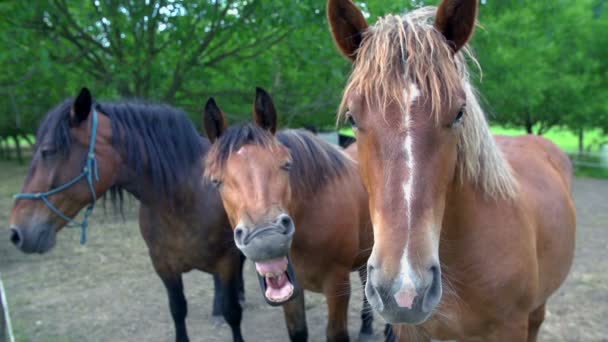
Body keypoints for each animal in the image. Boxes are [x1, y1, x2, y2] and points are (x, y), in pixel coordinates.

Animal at [8, 89, 246, 342]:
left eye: (48, 151)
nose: (16, 233)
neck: (185, 198)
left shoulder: (227, 259)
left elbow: (233, 313)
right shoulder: (164, 265)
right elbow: (178, 310)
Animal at [202, 87, 378, 340]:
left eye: (286, 165)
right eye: (216, 181)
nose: (266, 240)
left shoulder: (337, 285)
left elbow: (336, 334)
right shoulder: (291, 288)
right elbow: (297, 331)